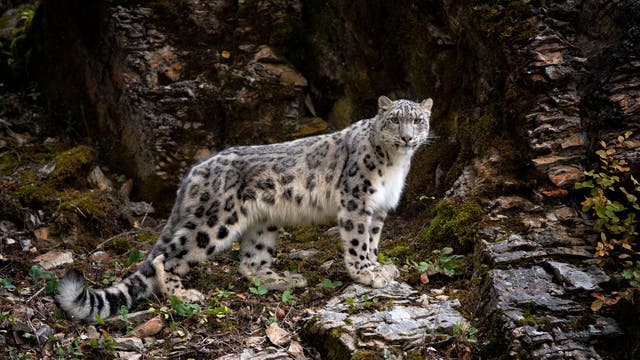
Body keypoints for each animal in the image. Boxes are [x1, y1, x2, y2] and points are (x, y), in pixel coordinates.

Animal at [56, 95, 436, 320]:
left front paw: (379, 267)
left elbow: (372, 241)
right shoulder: (357, 202)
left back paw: (282, 279)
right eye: (394, 119)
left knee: (250, 262)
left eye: (417, 120)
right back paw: (185, 293)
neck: (396, 164)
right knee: (169, 256)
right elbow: (358, 241)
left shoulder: (379, 209)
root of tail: (195, 170)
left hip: (263, 222)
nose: (407, 137)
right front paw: (366, 274)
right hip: (216, 222)